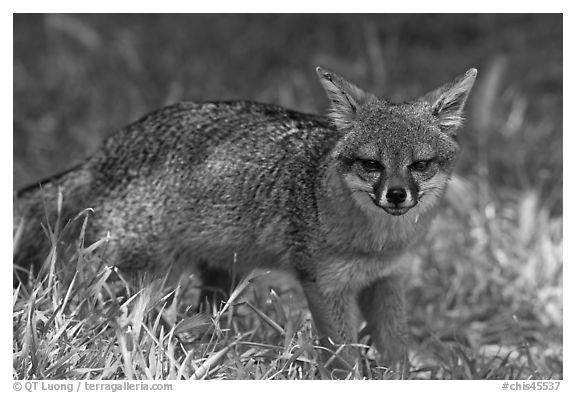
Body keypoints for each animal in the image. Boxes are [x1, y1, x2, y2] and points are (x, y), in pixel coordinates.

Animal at [15, 66, 480, 376]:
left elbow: (396, 354)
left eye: (419, 165)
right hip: (139, 282)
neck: (377, 243)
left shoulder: (386, 279)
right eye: (372, 165)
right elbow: (343, 358)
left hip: (221, 278)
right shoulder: (323, 284)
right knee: (109, 320)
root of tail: (105, 150)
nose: (397, 195)